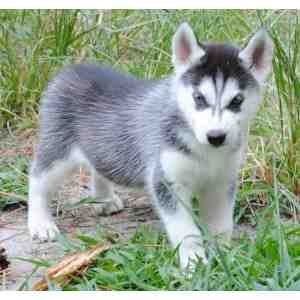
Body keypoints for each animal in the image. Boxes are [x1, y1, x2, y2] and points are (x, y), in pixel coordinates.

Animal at [28, 22, 274, 268]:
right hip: (58, 151)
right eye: (199, 98)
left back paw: (105, 198)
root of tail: (72, 68)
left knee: (98, 166)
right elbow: (186, 231)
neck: (206, 152)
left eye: (237, 101)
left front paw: (225, 257)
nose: (215, 136)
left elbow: (221, 226)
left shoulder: (222, 183)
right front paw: (194, 263)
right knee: (37, 179)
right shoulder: (166, 182)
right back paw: (40, 223)